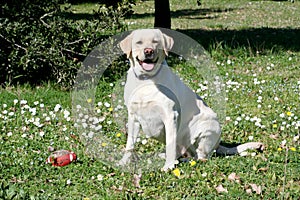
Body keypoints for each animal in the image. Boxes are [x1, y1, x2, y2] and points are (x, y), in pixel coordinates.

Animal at [117, 29, 262, 170]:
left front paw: (168, 166)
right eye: (139, 42)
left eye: (155, 42)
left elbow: (171, 144)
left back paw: (184, 160)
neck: (146, 80)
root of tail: (217, 144)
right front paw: (124, 162)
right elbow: (130, 144)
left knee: (201, 156)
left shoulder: (171, 115)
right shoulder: (133, 116)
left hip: (205, 128)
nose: (148, 51)